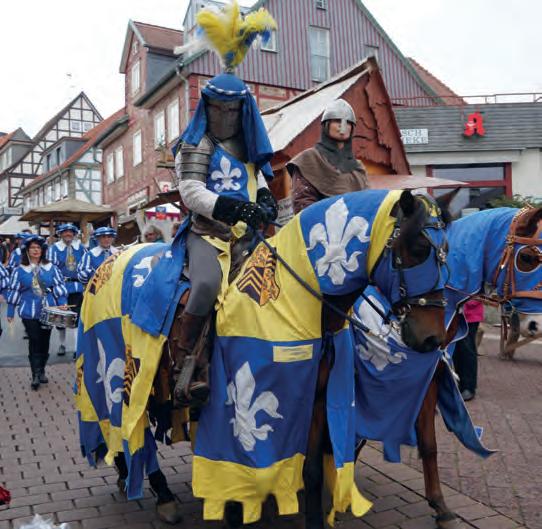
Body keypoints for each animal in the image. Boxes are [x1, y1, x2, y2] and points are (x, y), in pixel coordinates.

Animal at [75, 189, 451, 529]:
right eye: (419, 249)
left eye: (445, 253)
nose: (432, 339)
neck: (295, 300)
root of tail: (107, 262)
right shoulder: (233, 406)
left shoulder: (313, 401)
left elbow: (312, 471)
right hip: (124, 366)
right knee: (126, 425)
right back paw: (156, 491)